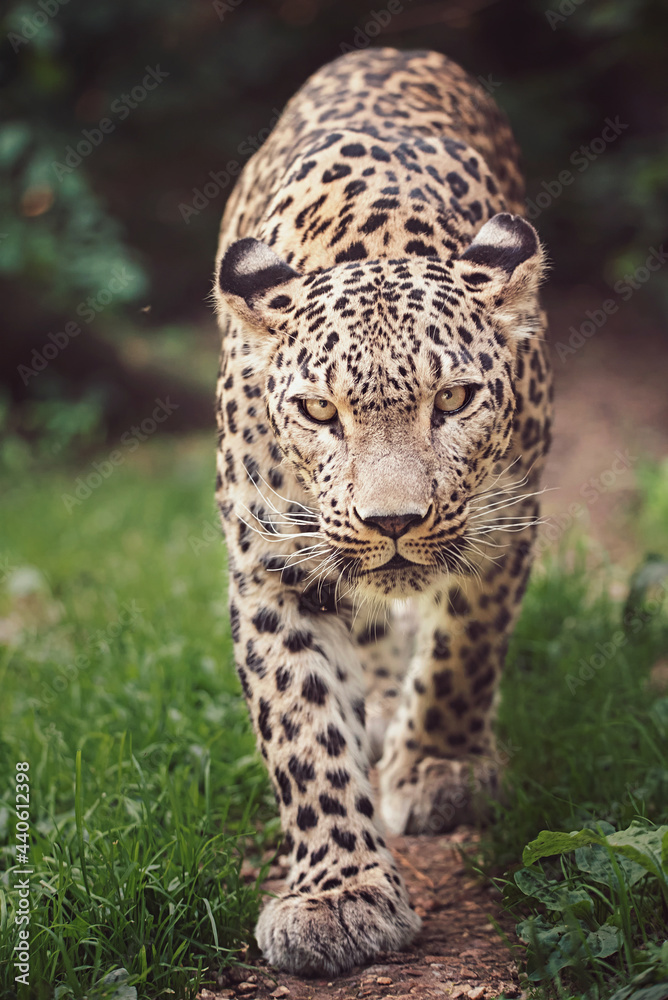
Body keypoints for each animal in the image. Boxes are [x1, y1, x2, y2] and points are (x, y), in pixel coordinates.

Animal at [213, 47, 552, 978]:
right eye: (319, 412)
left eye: (455, 399)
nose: (391, 523)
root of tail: (392, 48)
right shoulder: (272, 567)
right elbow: (302, 728)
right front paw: (339, 897)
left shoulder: (506, 521)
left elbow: (464, 648)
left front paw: (439, 767)